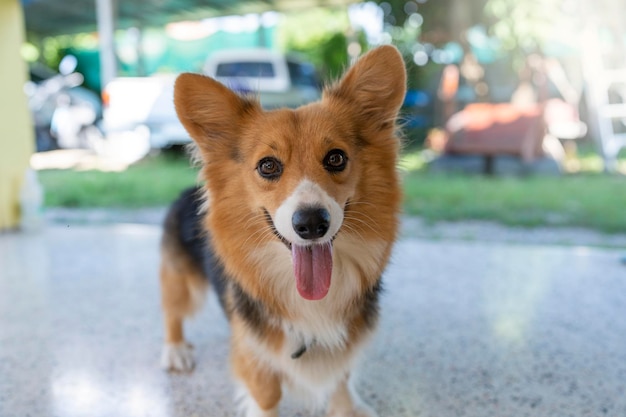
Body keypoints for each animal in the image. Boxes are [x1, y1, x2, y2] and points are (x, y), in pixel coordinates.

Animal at [158, 45, 408, 416]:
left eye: (336, 158)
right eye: (268, 166)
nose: (312, 224)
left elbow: (342, 375)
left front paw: (347, 407)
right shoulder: (254, 352)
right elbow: (267, 394)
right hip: (181, 279)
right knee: (173, 312)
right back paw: (176, 350)